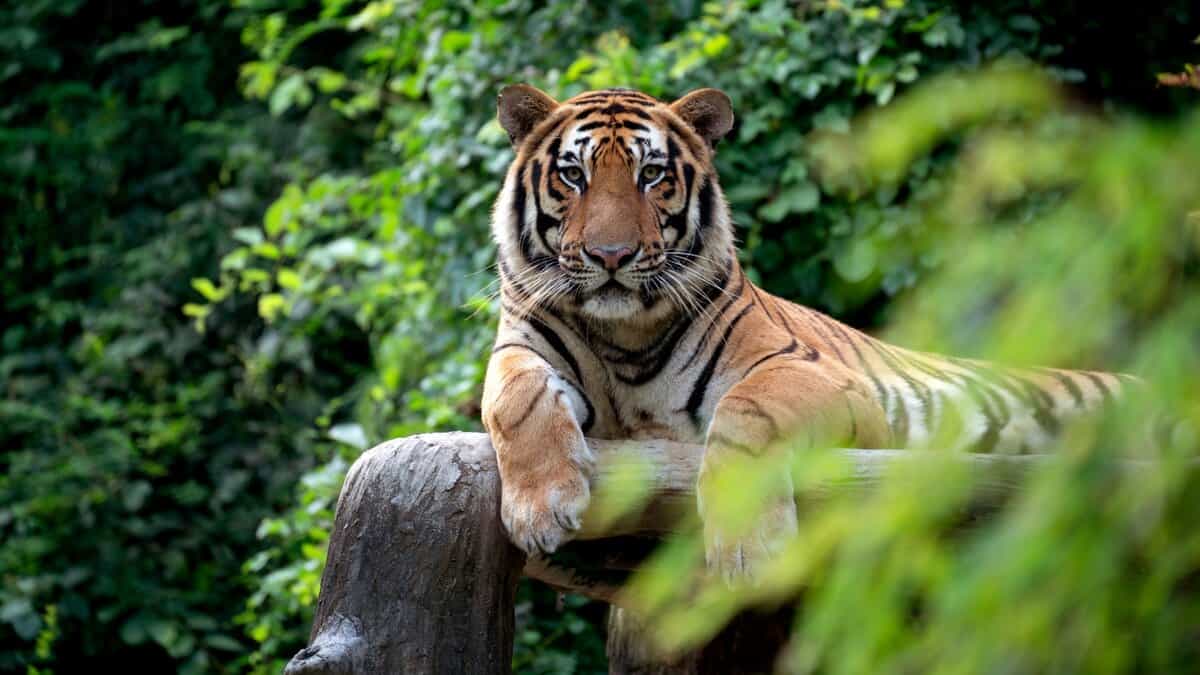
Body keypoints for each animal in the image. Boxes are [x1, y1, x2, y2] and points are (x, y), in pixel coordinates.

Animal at [481, 84, 1127, 577]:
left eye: (652, 174)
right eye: (573, 176)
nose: (611, 255)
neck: (624, 337)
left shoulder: (822, 376)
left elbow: (745, 410)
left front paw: (749, 550)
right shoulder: (519, 346)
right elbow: (514, 398)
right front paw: (542, 509)